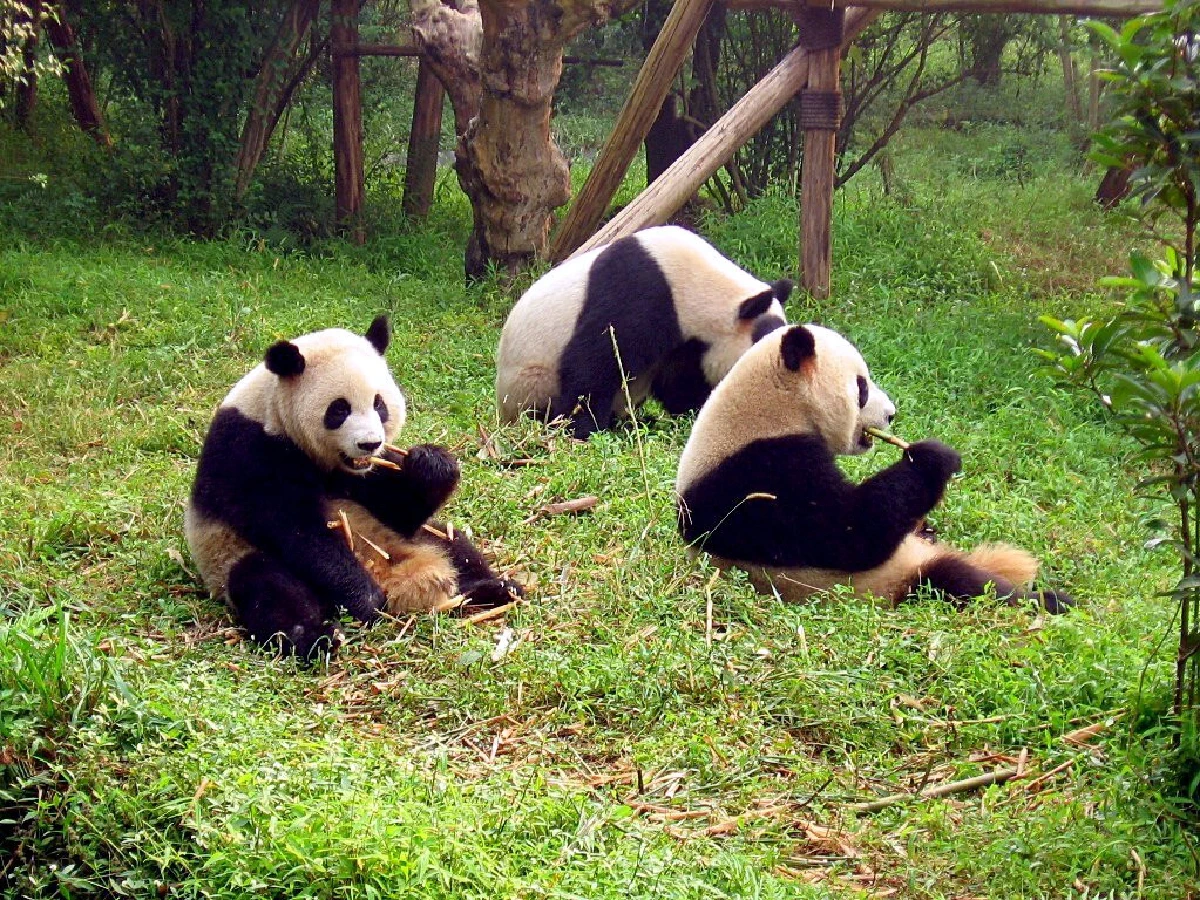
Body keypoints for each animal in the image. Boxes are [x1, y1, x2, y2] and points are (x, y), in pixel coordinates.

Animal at [185, 316, 521, 658]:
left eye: (379, 405)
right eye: (339, 409)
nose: (369, 443)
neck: (273, 413)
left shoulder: (365, 472)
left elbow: (399, 508)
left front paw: (432, 465)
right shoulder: (248, 451)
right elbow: (298, 531)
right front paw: (363, 597)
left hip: (407, 538)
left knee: (452, 543)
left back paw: (495, 589)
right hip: (230, 555)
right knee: (270, 588)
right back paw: (317, 637)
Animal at [495, 225, 791, 438]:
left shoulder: (685, 342)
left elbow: (680, 379)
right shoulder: (638, 293)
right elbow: (594, 364)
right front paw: (582, 428)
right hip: (530, 380)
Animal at [675, 323, 1072, 613]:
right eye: (861, 387)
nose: (891, 414)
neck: (771, 407)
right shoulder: (761, 472)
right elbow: (850, 532)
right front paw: (932, 458)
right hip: (896, 578)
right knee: (960, 582)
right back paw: (1050, 601)